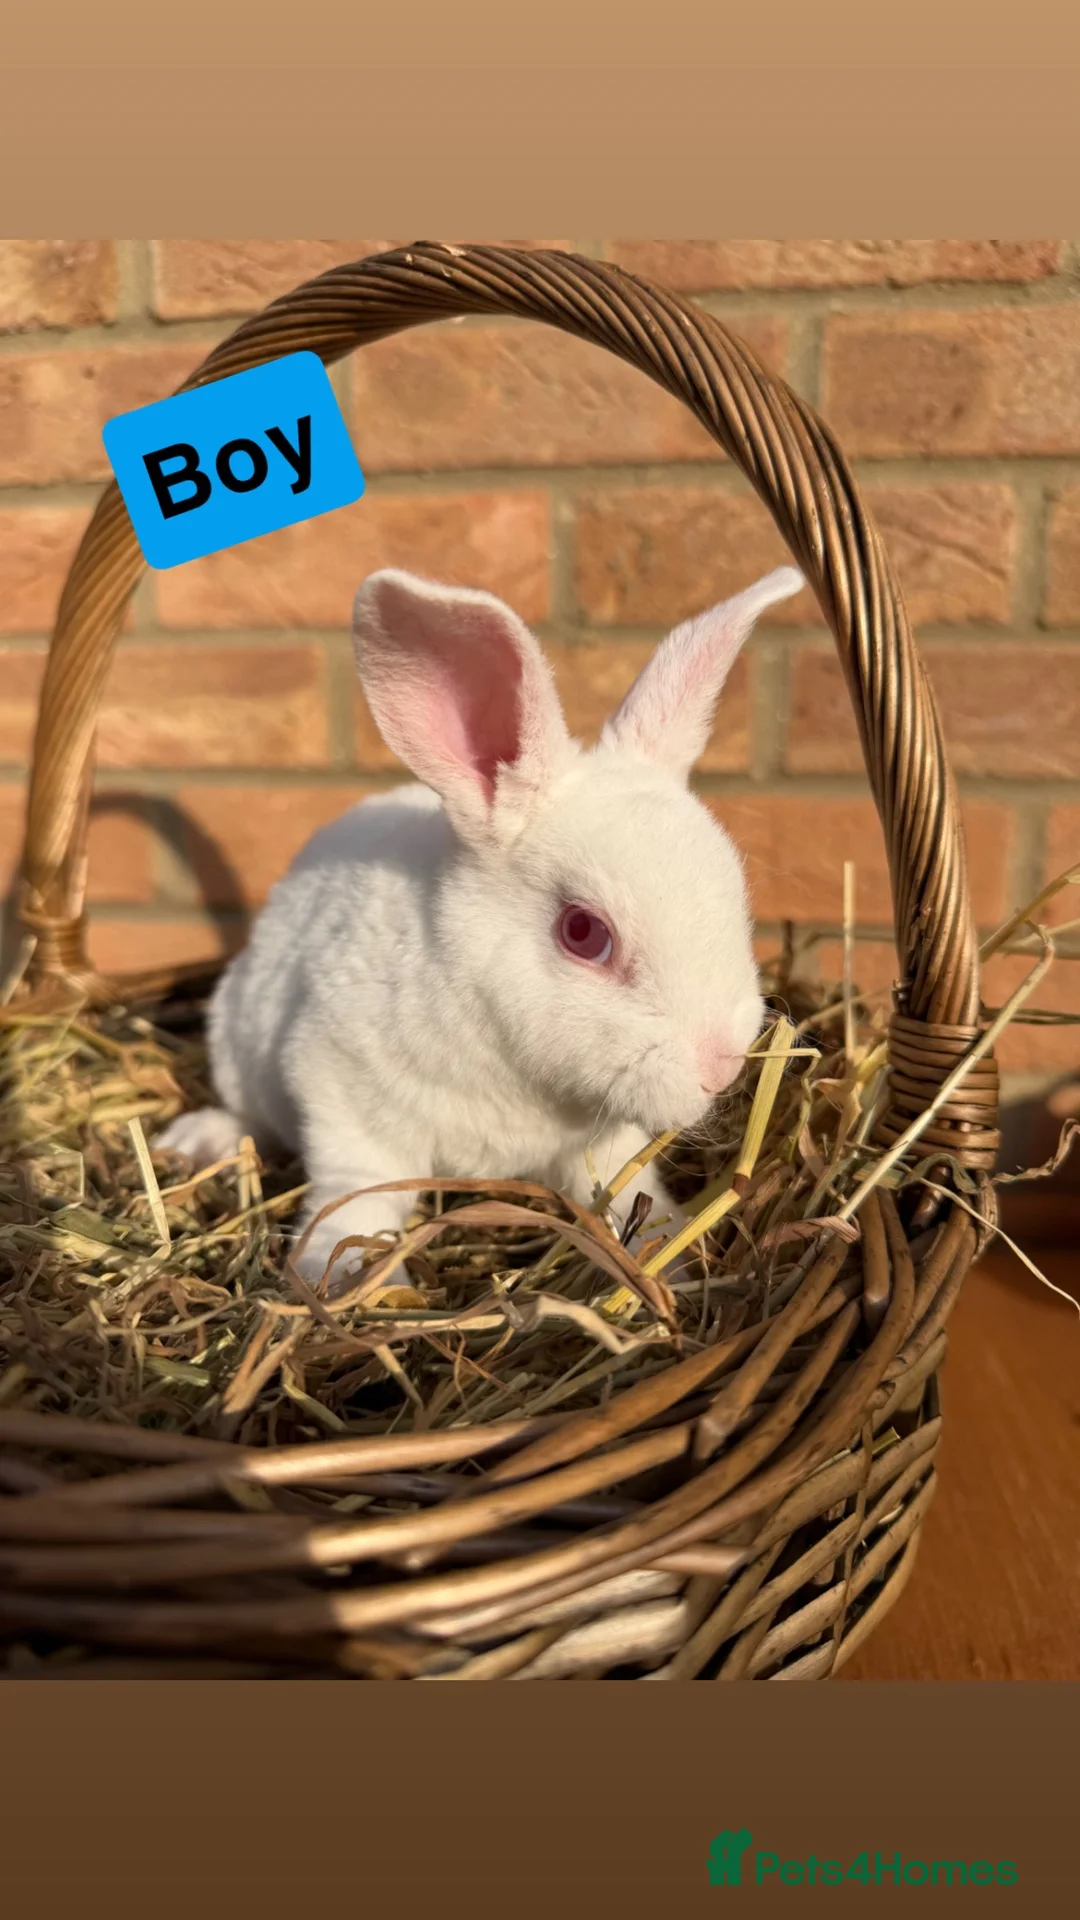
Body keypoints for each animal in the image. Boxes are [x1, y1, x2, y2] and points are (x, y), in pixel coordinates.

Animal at [156, 561, 805, 1292]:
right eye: (583, 933)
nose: (721, 1066)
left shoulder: (606, 1149)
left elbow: (631, 1196)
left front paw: (674, 1258)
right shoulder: (342, 1094)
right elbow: (356, 1193)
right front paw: (345, 1275)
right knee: (248, 1120)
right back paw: (193, 1142)